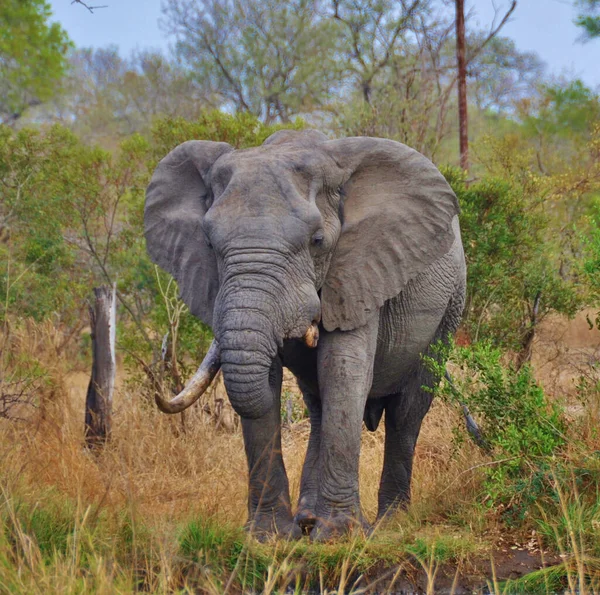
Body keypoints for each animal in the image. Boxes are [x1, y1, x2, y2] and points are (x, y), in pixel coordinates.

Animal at [144, 128, 464, 544]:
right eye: (210, 245)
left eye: (317, 241)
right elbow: (270, 381)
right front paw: (268, 537)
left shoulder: (359, 267)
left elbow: (342, 369)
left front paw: (339, 536)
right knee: (318, 406)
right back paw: (308, 518)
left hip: (450, 309)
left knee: (406, 411)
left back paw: (390, 523)